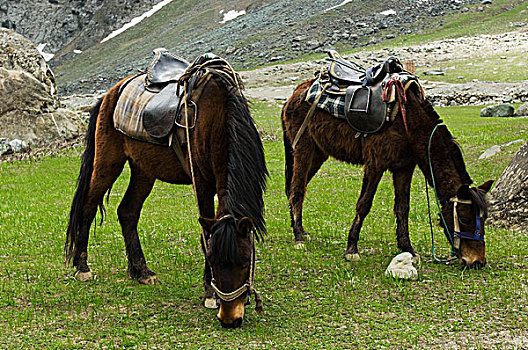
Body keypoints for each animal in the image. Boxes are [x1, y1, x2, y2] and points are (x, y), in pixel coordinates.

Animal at [66, 67, 268, 328]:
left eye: (245, 261)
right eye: (213, 260)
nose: (229, 319)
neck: (218, 118)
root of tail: (111, 93)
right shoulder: (202, 183)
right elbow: (205, 236)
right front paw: (209, 293)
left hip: (143, 169)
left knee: (127, 211)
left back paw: (141, 271)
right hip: (107, 162)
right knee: (89, 207)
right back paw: (82, 267)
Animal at [282, 80, 492, 268]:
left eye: (484, 218)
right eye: (464, 218)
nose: (477, 262)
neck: (409, 122)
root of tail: (294, 94)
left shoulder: (404, 168)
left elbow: (403, 208)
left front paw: (408, 248)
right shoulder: (375, 164)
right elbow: (364, 205)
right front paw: (352, 249)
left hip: (318, 154)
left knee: (294, 188)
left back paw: (299, 230)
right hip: (303, 148)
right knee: (297, 190)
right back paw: (299, 237)